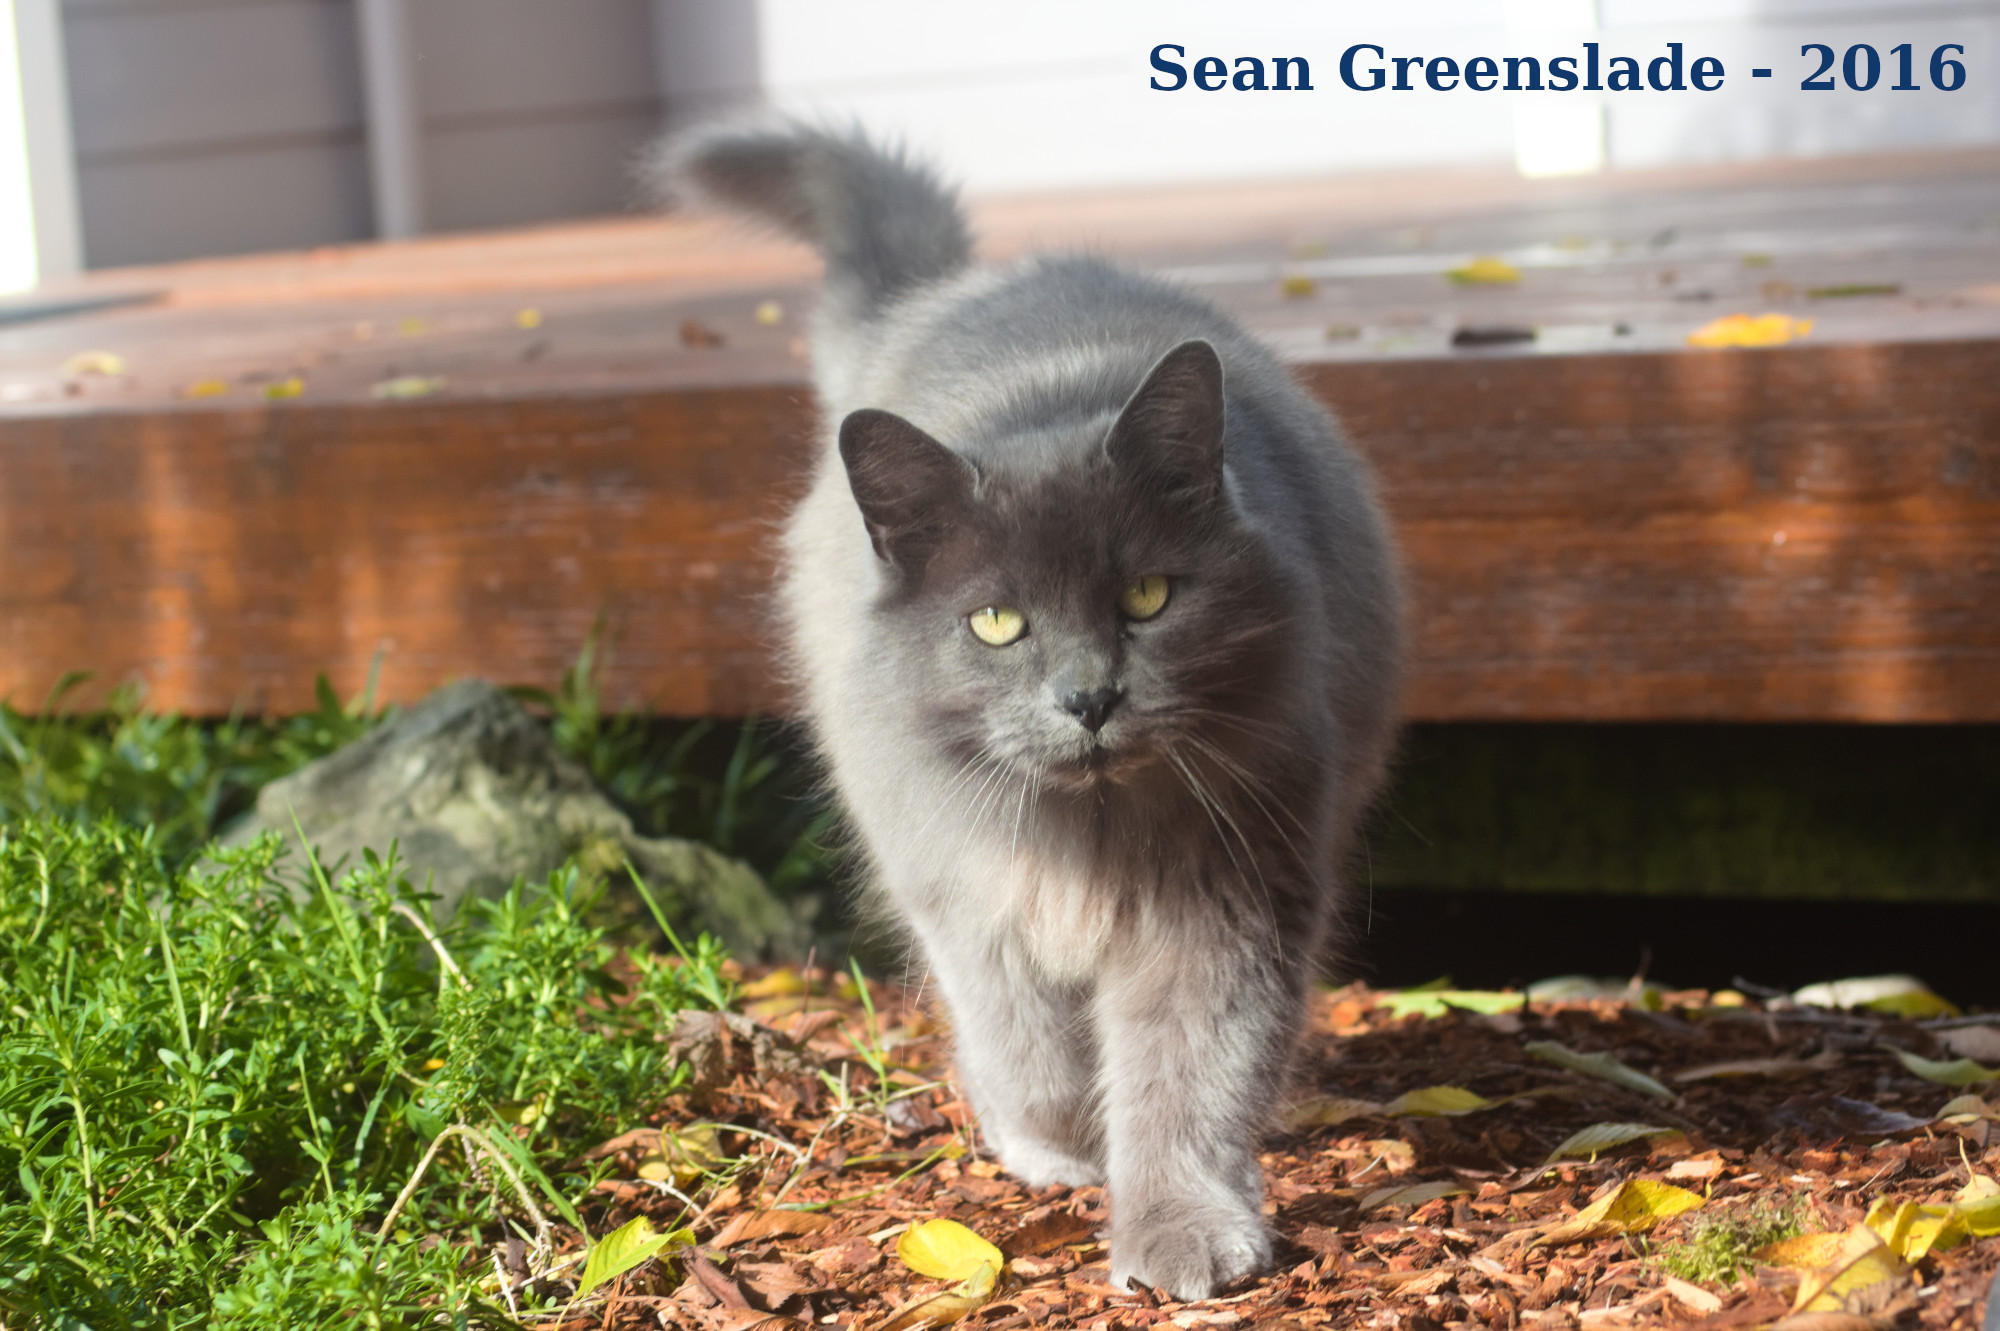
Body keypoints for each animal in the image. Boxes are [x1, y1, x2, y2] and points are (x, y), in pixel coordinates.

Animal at [664, 123, 1404, 1300]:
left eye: (1146, 596)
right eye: (998, 621)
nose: (1089, 696)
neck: (1085, 831)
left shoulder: (1227, 893)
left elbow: (1192, 1070)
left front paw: (1183, 1228)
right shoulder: (962, 889)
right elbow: (1028, 1042)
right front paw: (1060, 1144)